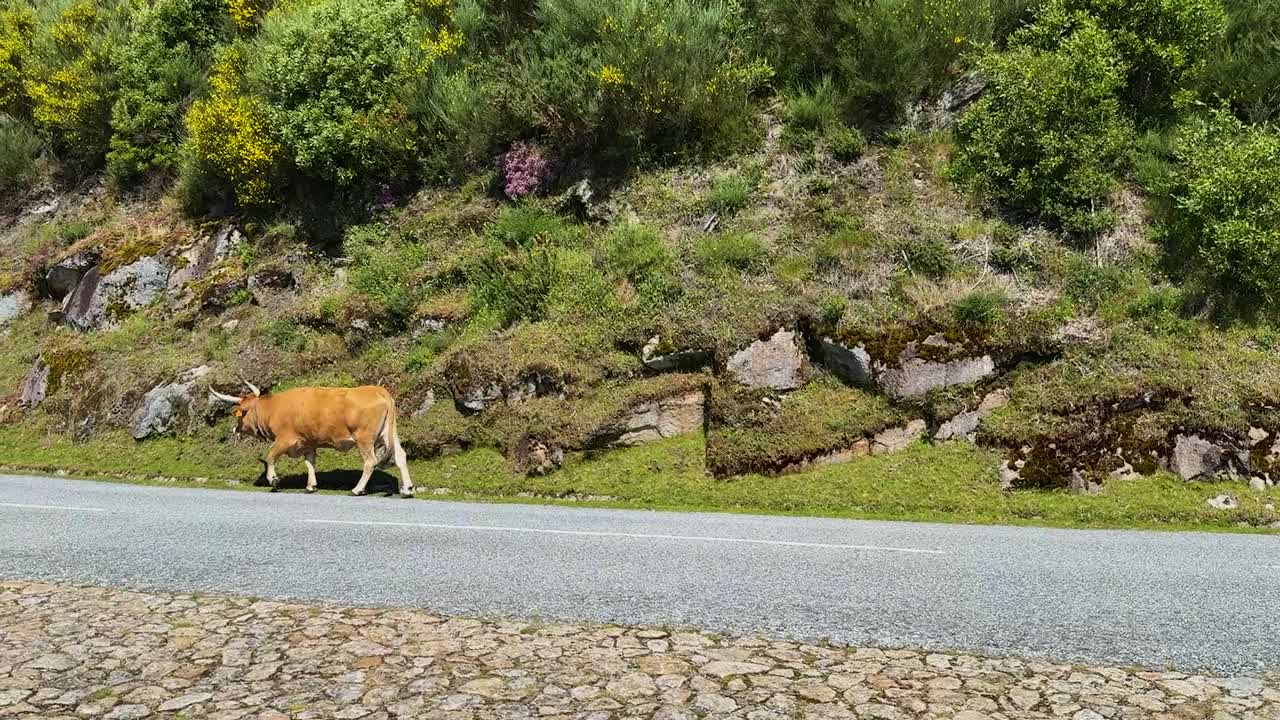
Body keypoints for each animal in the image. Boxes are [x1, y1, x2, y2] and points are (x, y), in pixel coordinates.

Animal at [210, 382, 415, 497]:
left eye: (242, 412)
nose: (234, 428)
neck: (274, 408)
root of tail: (379, 390)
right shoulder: (308, 443)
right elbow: (309, 463)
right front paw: (310, 486)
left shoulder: (284, 440)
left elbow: (270, 457)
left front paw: (273, 479)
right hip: (389, 434)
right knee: (400, 456)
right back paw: (407, 489)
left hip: (364, 439)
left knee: (370, 462)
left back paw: (357, 489)